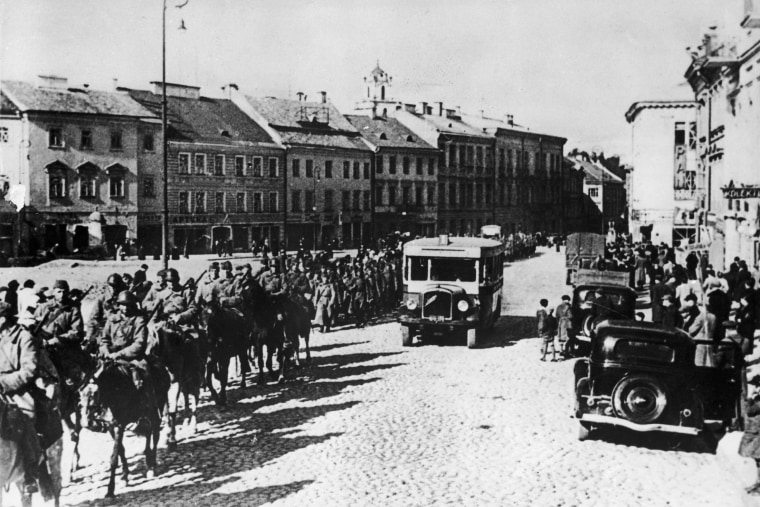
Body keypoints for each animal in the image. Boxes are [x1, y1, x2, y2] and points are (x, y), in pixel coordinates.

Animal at [79, 362, 170, 500]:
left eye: (95, 393)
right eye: (80, 393)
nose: (86, 423)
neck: (114, 391)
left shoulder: (119, 426)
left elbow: (114, 458)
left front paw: (110, 490)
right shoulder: (111, 426)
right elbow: (121, 450)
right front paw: (124, 477)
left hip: (156, 408)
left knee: (155, 435)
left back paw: (152, 466)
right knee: (148, 433)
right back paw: (148, 461)